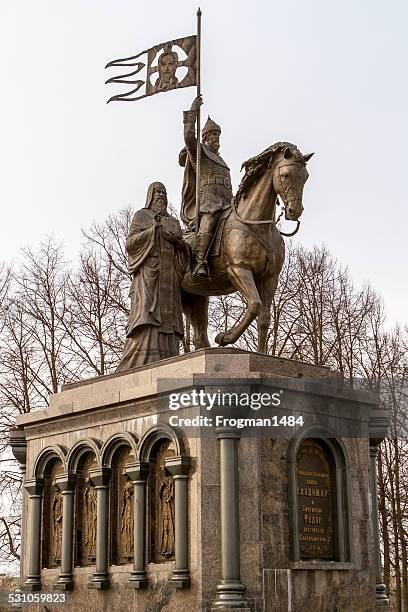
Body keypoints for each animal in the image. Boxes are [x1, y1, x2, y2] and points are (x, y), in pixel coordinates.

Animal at [181, 140, 312, 352]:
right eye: (285, 174)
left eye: (305, 177)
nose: (294, 211)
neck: (256, 223)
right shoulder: (238, 269)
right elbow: (254, 305)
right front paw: (225, 337)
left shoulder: (270, 277)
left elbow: (264, 317)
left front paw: (262, 353)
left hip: (195, 296)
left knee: (199, 335)